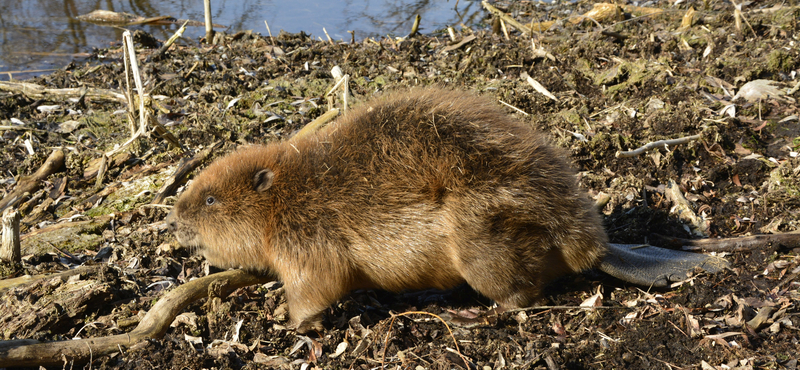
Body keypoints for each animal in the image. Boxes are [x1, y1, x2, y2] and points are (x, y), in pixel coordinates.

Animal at [167, 87, 608, 332]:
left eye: (209, 200)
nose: (173, 221)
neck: (288, 193)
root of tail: (591, 245)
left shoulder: (306, 235)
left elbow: (317, 284)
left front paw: (296, 326)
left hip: (481, 231)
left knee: (522, 292)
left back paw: (473, 314)